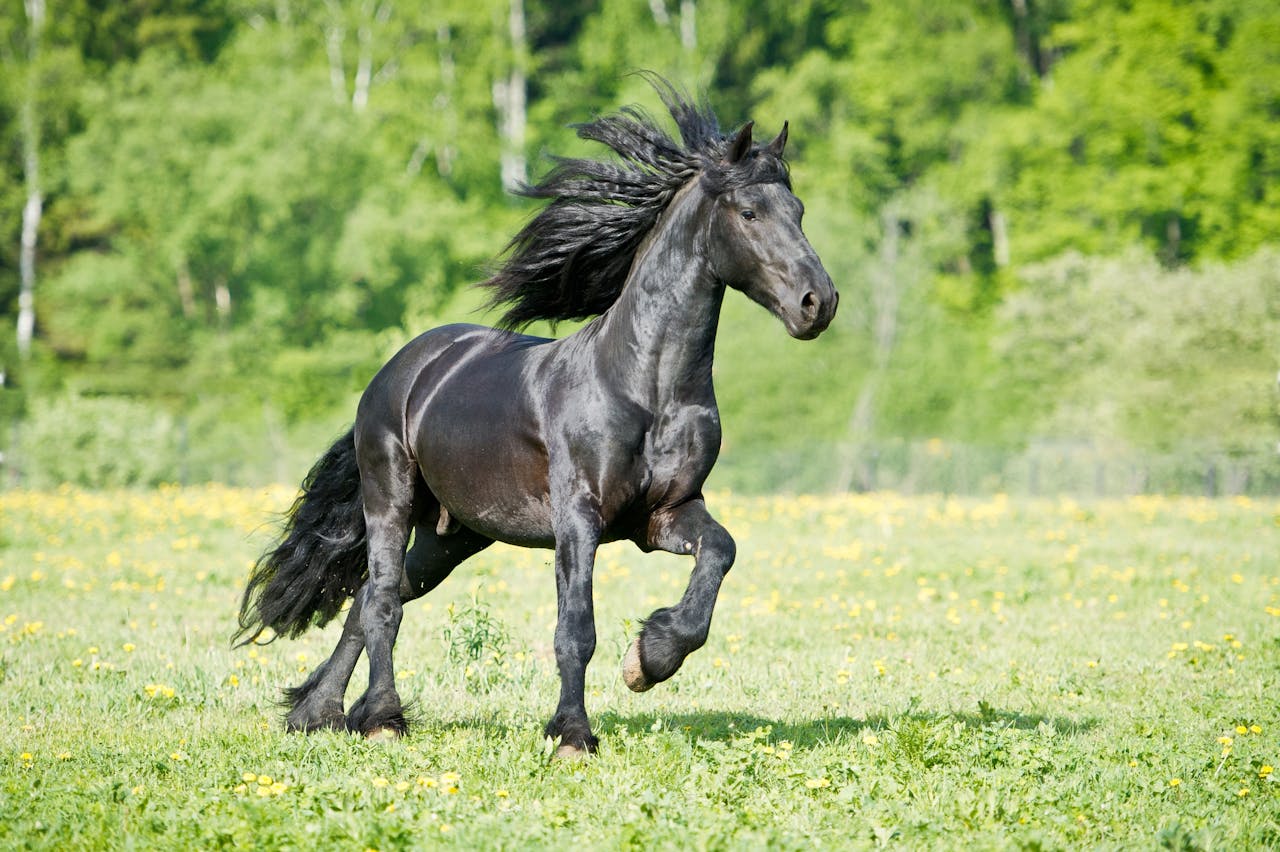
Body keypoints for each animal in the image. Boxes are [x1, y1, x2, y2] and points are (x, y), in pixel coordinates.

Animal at [238, 79, 839, 752]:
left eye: (799, 212)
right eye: (749, 213)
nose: (818, 303)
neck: (645, 389)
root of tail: (398, 371)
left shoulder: (664, 513)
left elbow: (720, 554)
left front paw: (649, 659)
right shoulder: (578, 519)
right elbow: (575, 628)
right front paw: (573, 733)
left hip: (452, 536)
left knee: (369, 599)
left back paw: (320, 711)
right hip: (389, 499)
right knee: (384, 601)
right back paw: (383, 719)